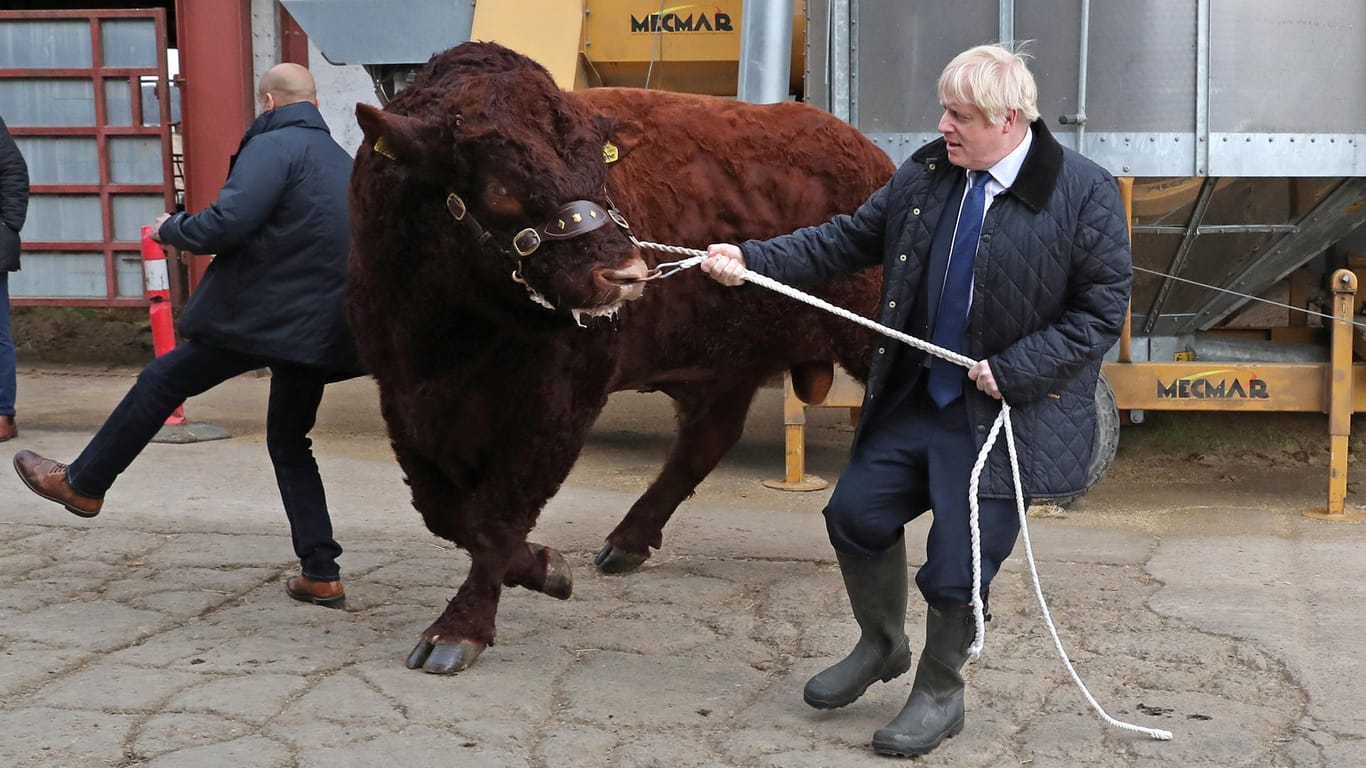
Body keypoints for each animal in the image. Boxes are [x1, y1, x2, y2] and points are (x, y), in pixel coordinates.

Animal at [346, 41, 890, 672]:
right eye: (500, 186)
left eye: (599, 170)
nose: (627, 274)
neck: (448, 332)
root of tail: (869, 154)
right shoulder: (403, 395)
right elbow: (445, 511)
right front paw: (544, 568)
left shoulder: (561, 402)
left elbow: (498, 514)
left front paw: (461, 629)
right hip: (728, 364)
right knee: (704, 442)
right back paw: (627, 543)